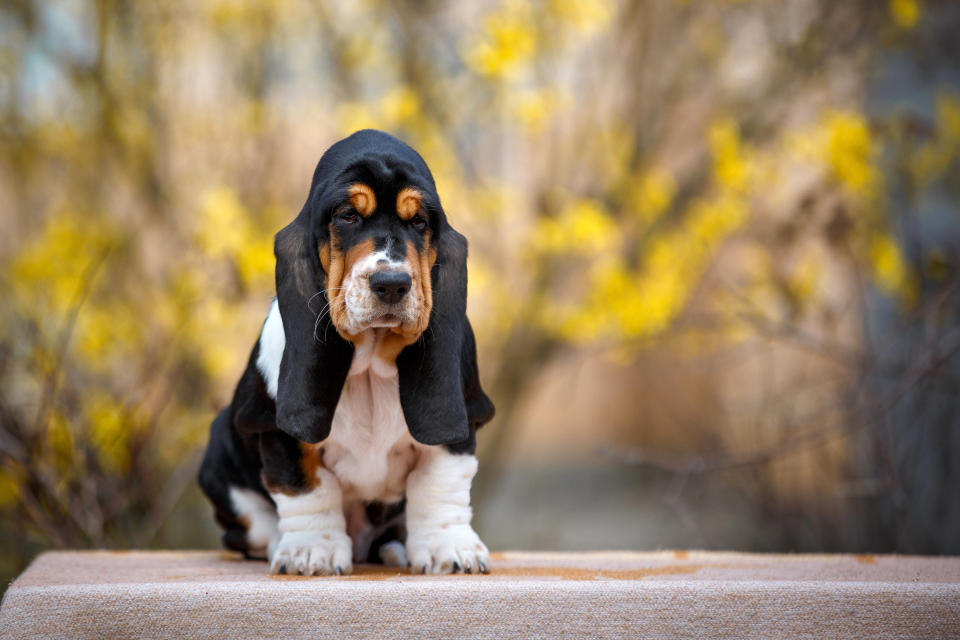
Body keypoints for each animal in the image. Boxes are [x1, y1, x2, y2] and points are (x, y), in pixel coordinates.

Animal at [196, 130, 496, 576]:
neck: (371, 358)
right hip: (220, 455)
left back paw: (394, 549)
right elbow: (305, 487)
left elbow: (440, 483)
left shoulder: (457, 424)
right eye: (348, 216)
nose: (392, 283)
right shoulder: (277, 430)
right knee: (252, 529)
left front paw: (450, 548)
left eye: (419, 222)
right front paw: (310, 552)